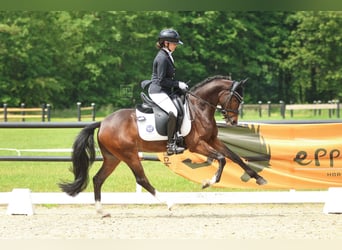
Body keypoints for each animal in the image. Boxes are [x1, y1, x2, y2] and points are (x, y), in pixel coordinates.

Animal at [59, 75, 268, 214]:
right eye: (234, 99)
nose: (233, 121)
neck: (199, 108)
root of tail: (103, 123)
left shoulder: (212, 140)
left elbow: (234, 157)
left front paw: (258, 178)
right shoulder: (197, 145)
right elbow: (222, 159)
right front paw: (207, 182)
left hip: (113, 157)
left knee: (98, 179)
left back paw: (101, 211)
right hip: (129, 155)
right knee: (141, 179)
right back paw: (169, 203)